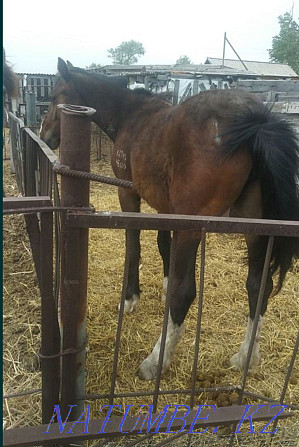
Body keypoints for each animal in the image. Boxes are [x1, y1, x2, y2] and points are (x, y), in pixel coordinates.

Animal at [40, 57, 299, 382]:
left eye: (54, 97)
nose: (46, 136)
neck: (133, 116)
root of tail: (255, 121)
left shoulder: (129, 194)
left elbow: (134, 247)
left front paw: (130, 297)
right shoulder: (164, 207)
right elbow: (164, 245)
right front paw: (164, 287)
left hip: (194, 227)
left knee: (186, 292)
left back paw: (156, 360)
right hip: (254, 227)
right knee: (258, 286)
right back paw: (245, 358)